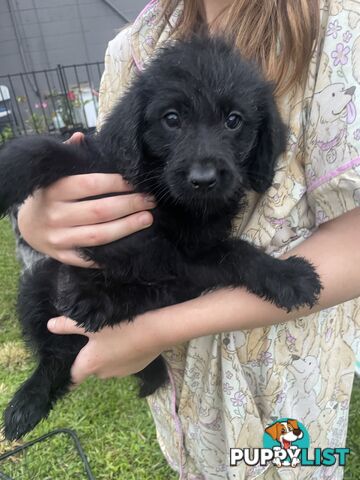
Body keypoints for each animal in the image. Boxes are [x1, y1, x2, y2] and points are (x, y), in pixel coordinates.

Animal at [0, 35, 320, 440]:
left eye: (234, 121)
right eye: (172, 119)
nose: (203, 179)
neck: (166, 200)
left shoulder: (192, 257)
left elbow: (236, 252)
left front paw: (288, 275)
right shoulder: (97, 166)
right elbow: (40, 151)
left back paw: (95, 302)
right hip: (36, 284)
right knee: (54, 357)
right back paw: (27, 402)